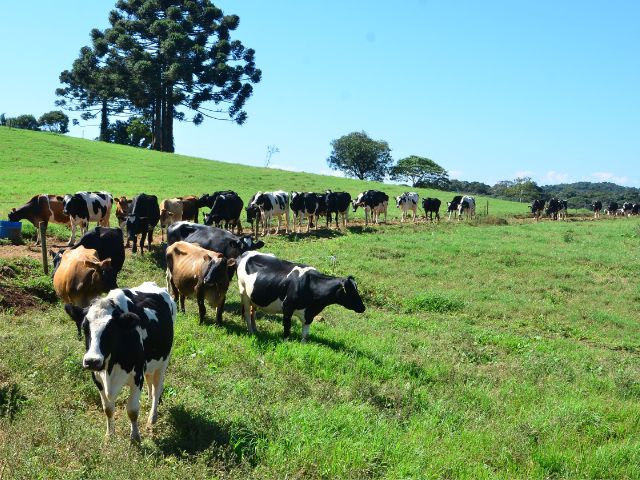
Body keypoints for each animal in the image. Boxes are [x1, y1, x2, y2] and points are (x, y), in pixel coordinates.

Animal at [62, 282, 175, 442]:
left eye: (111, 329)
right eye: (84, 327)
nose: (92, 361)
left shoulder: (137, 377)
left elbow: (132, 411)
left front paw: (135, 437)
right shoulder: (97, 378)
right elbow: (108, 409)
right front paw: (110, 435)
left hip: (164, 361)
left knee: (157, 389)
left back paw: (152, 417)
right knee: (150, 381)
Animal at [235, 251, 364, 342]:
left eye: (357, 290)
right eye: (350, 291)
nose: (363, 308)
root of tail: (245, 253)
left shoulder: (309, 314)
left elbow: (305, 335)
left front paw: (303, 345)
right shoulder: (287, 308)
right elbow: (287, 329)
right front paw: (285, 343)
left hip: (253, 296)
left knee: (252, 312)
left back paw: (256, 330)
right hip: (243, 292)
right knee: (247, 313)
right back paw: (251, 332)